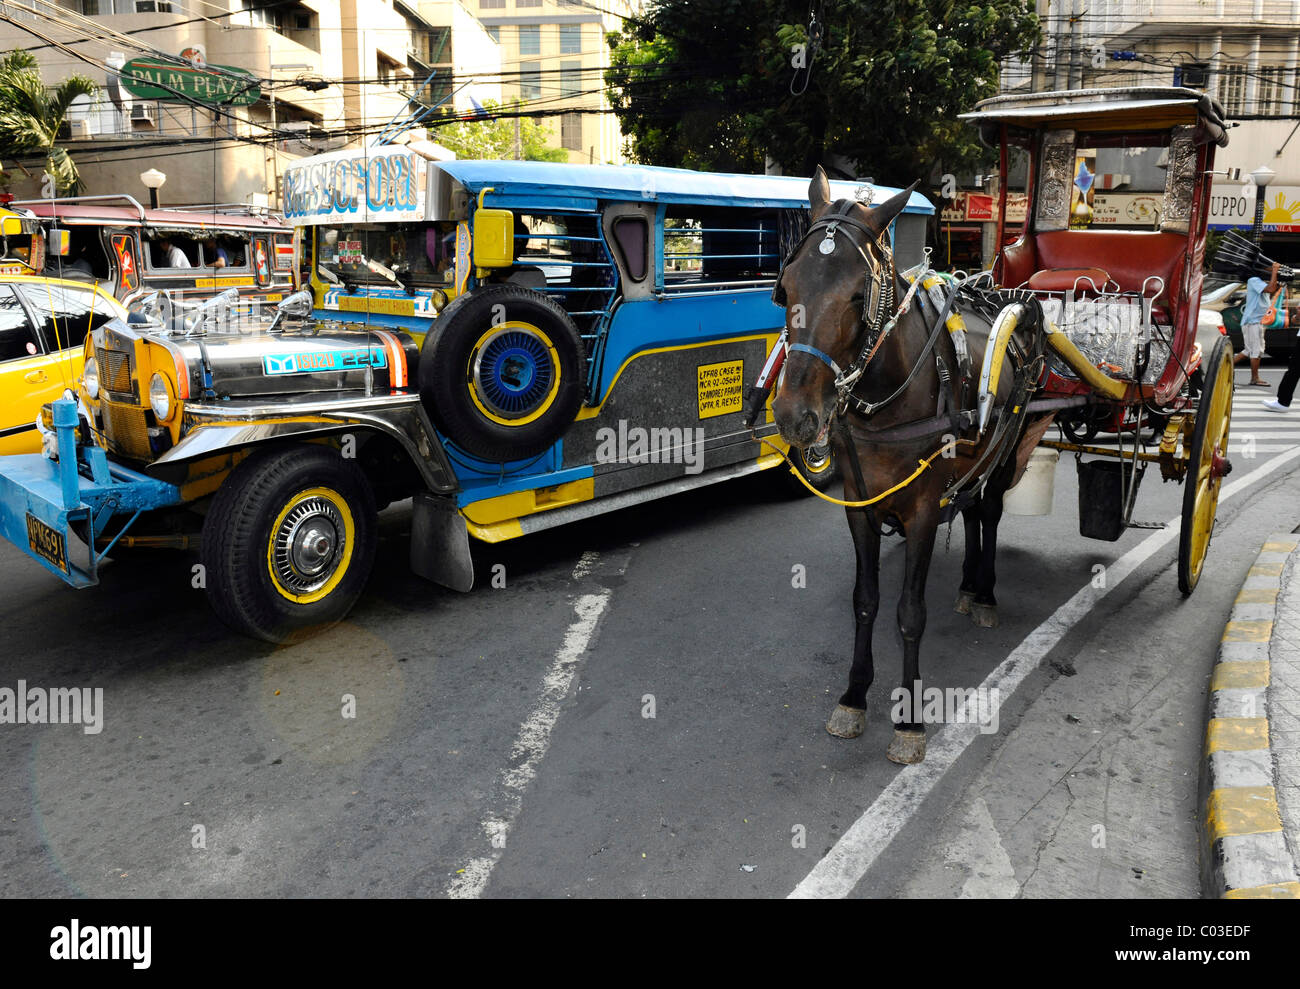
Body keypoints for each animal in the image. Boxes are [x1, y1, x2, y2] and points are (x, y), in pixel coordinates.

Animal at [764, 167, 1050, 764]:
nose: (796, 416)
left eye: (858, 295)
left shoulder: (921, 511)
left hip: (1006, 442)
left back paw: (984, 592)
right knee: (970, 509)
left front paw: (911, 720)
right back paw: (967, 585)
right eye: (787, 286)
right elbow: (866, 601)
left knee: (989, 512)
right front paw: (853, 696)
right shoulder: (859, 506)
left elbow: (909, 612)